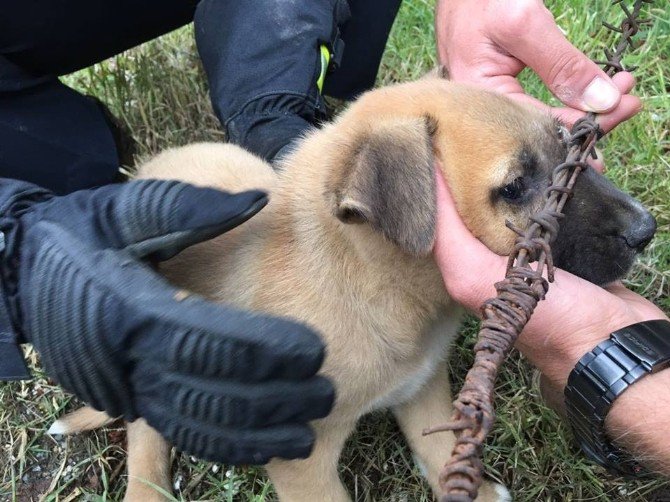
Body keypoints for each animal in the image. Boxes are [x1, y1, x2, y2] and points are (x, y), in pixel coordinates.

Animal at [53, 75, 656, 502]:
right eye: (514, 187)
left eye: (574, 148)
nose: (646, 229)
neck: (374, 284)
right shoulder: (302, 461)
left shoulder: (422, 385)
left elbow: (443, 451)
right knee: (144, 436)